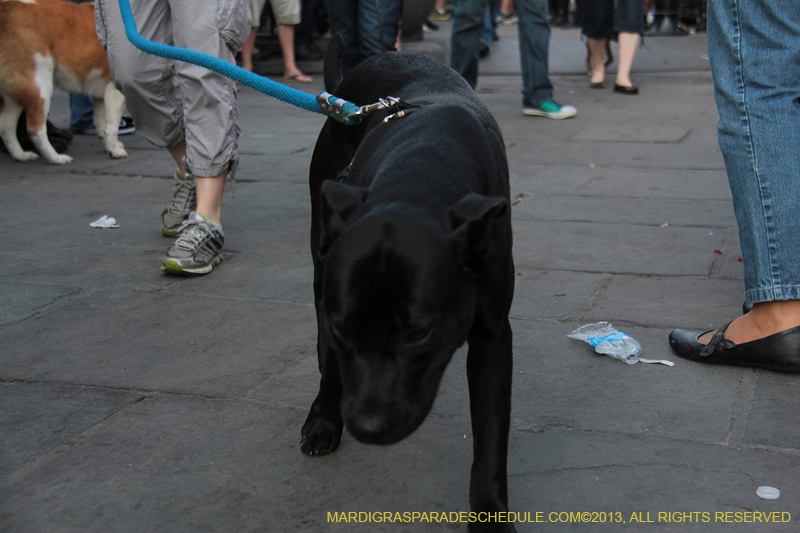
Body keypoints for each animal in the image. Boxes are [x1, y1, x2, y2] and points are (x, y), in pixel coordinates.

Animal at [0, 0, 126, 164]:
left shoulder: (100, 94)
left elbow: (102, 126)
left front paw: (109, 147)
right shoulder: (115, 90)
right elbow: (112, 127)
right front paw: (115, 151)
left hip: (13, 96)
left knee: (6, 128)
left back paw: (21, 155)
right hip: (40, 88)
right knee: (35, 130)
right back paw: (55, 158)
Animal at [304, 47, 516, 528]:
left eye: (419, 334)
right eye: (347, 329)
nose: (369, 427)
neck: (420, 177)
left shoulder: (493, 337)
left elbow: (491, 434)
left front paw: (490, 512)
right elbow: (334, 355)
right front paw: (325, 419)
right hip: (320, 246)